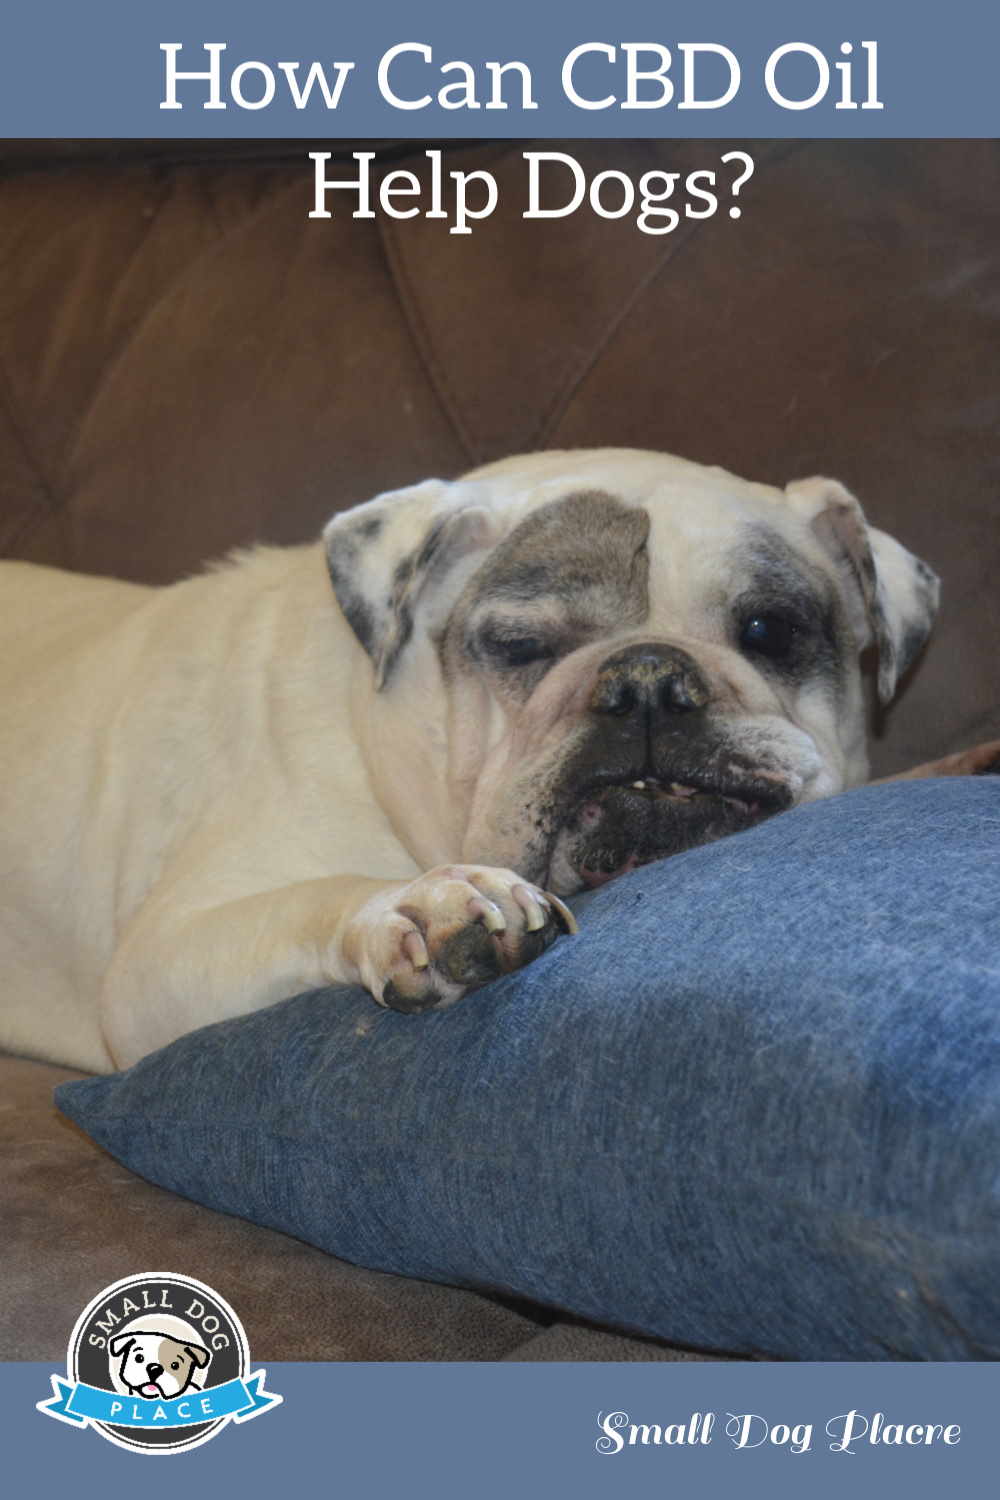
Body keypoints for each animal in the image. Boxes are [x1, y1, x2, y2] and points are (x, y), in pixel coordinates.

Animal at [1, 438, 983, 1074]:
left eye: (768, 631)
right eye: (521, 647)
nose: (648, 677)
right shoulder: (164, 956)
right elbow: (323, 896)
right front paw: (425, 903)